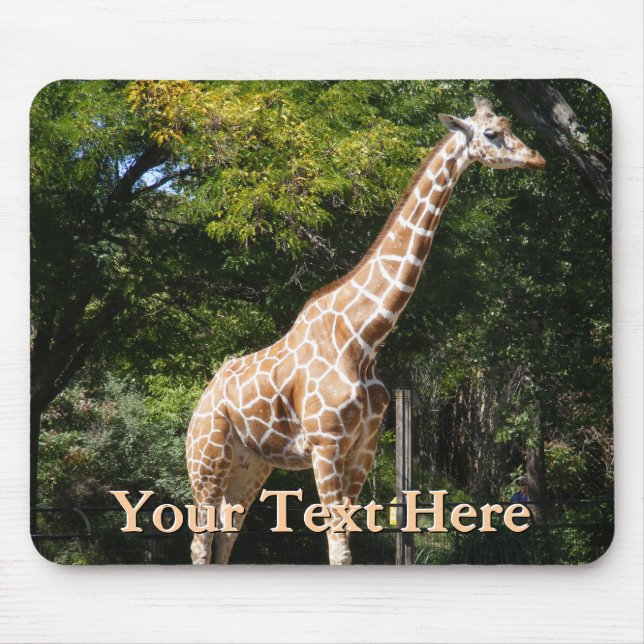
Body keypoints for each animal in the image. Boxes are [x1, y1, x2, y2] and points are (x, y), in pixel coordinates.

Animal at [186, 97, 545, 565]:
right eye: (491, 134)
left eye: (508, 125)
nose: (536, 158)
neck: (364, 338)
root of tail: (203, 398)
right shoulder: (326, 445)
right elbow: (339, 548)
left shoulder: (363, 448)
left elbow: (346, 540)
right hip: (207, 458)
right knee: (200, 540)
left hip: (251, 463)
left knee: (225, 537)